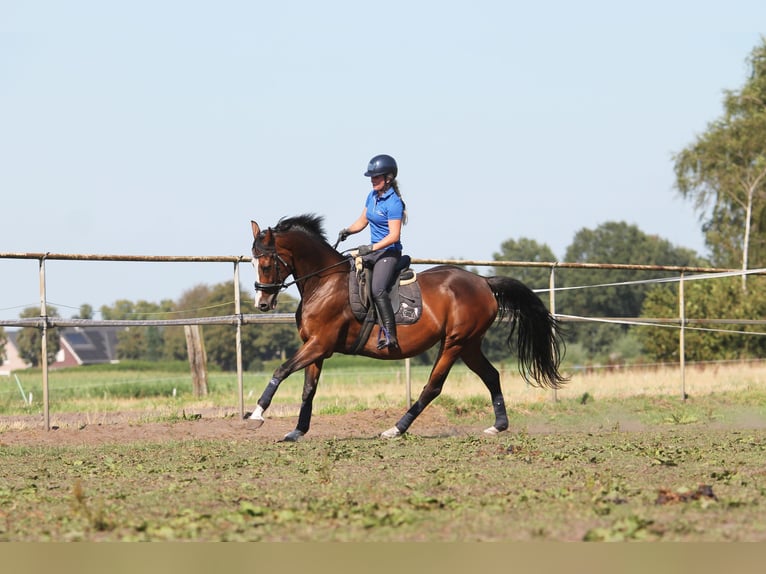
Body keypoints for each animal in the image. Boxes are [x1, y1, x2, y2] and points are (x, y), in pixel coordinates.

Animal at [249, 214, 568, 444]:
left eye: (265, 263)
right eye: (253, 262)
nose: (262, 303)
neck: (325, 282)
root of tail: (483, 282)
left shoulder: (319, 343)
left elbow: (281, 369)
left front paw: (257, 413)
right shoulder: (316, 347)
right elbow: (308, 389)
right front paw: (297, 431)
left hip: (454, 342)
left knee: (433, 387)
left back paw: (396, 429)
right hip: (469, 345)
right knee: (491, 375)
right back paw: (498, 426)